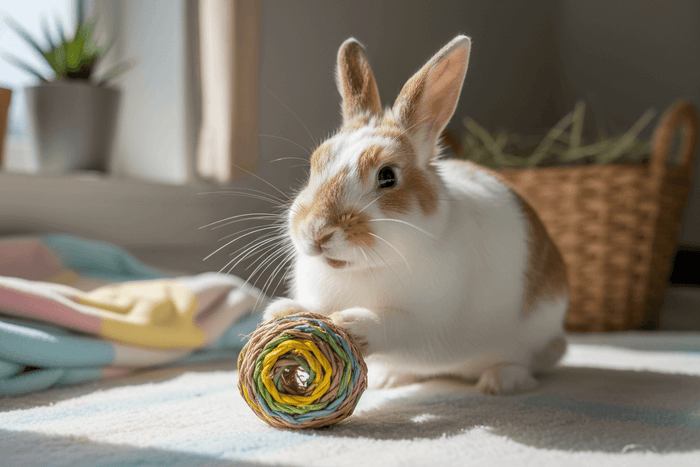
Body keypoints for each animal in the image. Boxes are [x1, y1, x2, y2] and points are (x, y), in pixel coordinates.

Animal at [262, 35, 569, 394]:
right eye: (315, 164)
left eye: (387, 176)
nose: (316, 231)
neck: (362, 269)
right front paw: (282, 310)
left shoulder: (428, 325)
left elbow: (393, 325)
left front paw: (351, 322)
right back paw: (390, 379)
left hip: (539, 335)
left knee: (530, 361)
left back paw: (500, 380)